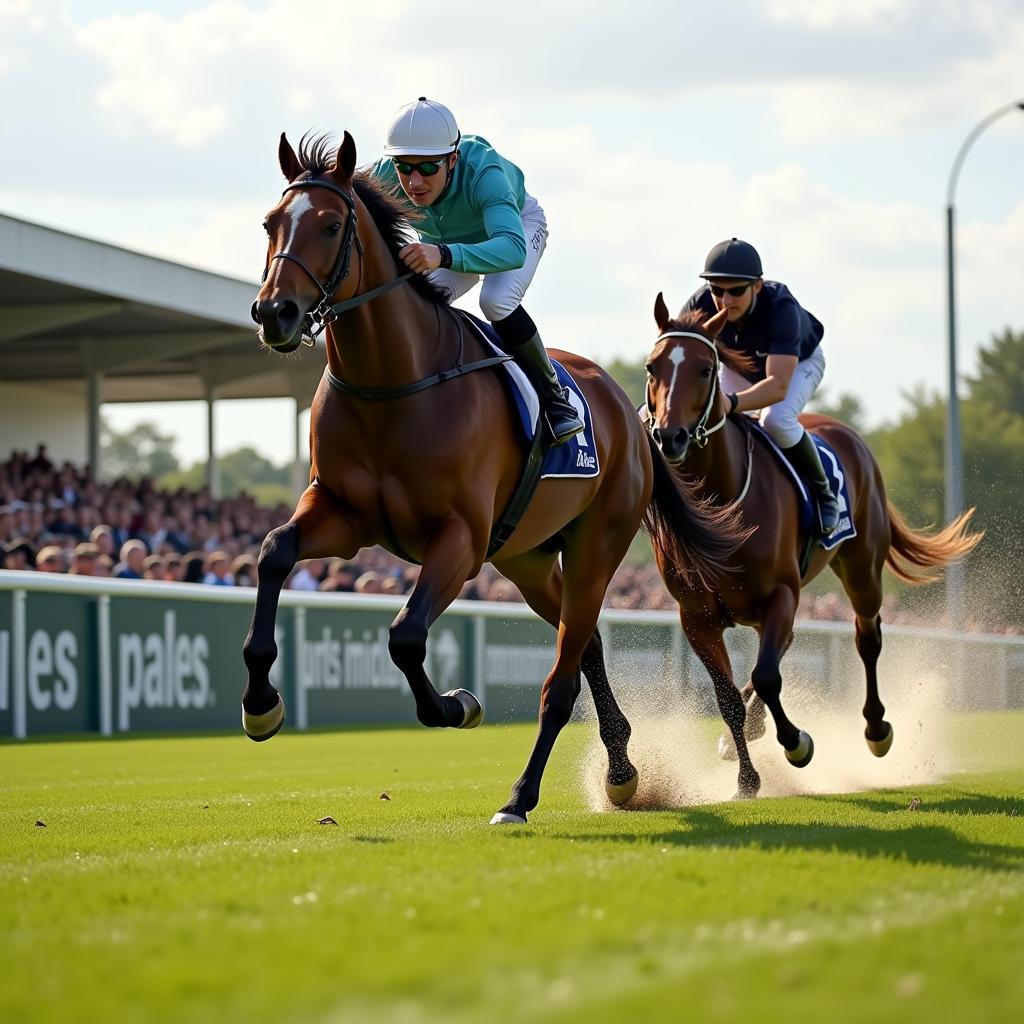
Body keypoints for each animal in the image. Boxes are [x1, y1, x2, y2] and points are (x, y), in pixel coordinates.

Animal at [239, 134, 741, 823]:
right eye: (270, 224)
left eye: (332, 225)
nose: (275, 313)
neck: (393, 382)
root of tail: (633, 417)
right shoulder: (342, 513)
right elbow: (272, 552)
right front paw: (261, 705)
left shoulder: (461, 538)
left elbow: (406, 637)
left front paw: (458, 705)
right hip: (527, 559)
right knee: (585, 643)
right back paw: (620, 771)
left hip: (595, 547)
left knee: (560, 682)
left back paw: (521, 797)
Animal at [643, 299, 978, 798]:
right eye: (652, 367)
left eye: (705, 369)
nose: (670, 437)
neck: (719, 507)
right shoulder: (696, 616)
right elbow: (729, 696)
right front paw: (746, 778)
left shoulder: (781, 593)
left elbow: (766, 676)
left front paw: (795, 743)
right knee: (782, 651)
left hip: (861, 568)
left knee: (866, 637)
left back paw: (876, 729)